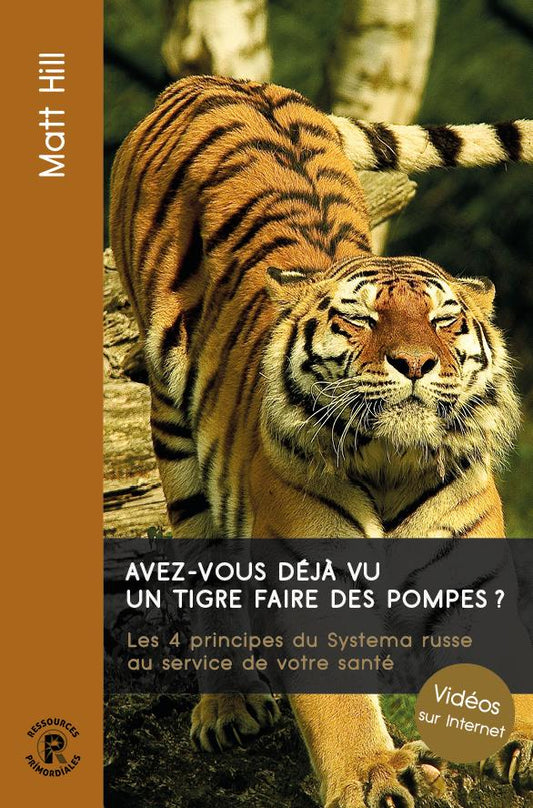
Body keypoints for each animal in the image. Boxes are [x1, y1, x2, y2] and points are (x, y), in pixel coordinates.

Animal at [109, 74, 533, 808]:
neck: (394, 465)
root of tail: (214, 80)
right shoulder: (310, 580)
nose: (416, 363)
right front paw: (373, 772)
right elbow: (337, 701)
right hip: (171, 429)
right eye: (359, 319)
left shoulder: (474, 581)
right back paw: (228, 708)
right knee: (205, 577)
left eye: (445, 321)